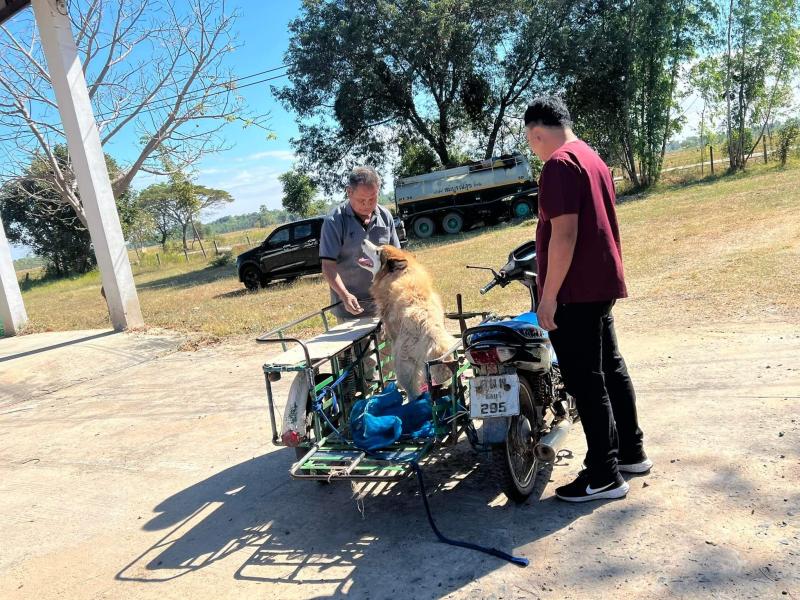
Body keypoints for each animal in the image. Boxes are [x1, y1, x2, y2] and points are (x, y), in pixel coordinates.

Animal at [358, 240, 453, 399]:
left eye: (378, 251)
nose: (363, 241)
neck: (400, 273)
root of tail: (431, 333)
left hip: (402, 365)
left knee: (412, 392)